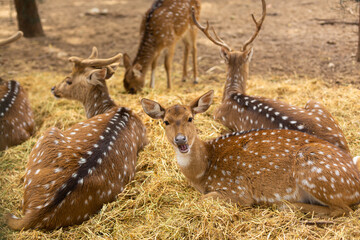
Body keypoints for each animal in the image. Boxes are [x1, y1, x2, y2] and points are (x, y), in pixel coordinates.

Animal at [142, 90, 360, 218]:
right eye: (166, 121)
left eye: (190, 118)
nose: (181, 140)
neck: (203, 172)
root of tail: (356, 180)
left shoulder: (237, 190)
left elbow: (202, 200)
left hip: (315, 171)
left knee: (343, 210)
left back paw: (287, 205)